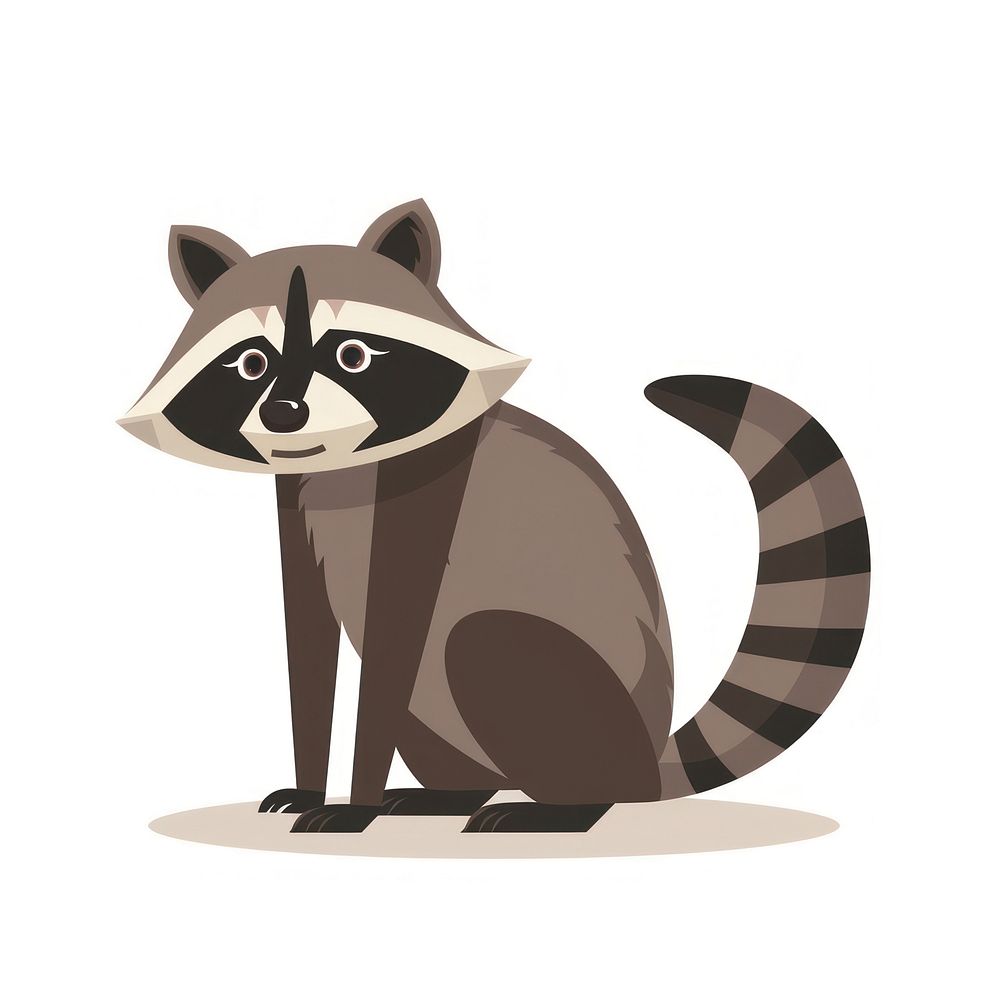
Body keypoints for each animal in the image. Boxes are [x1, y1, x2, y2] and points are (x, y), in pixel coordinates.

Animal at [119, 200, 870, 833]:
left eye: (352, 355)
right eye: (250, 363)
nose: (284, 414)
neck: (350, 462)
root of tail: (645, 760)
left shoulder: (431, 489)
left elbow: (396, 634)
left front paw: (353, 802)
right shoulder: (296, 490)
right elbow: (309, 635)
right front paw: (311, 785)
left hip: (577, 700)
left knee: (479, 641)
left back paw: (567, 807)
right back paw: (453, 793)